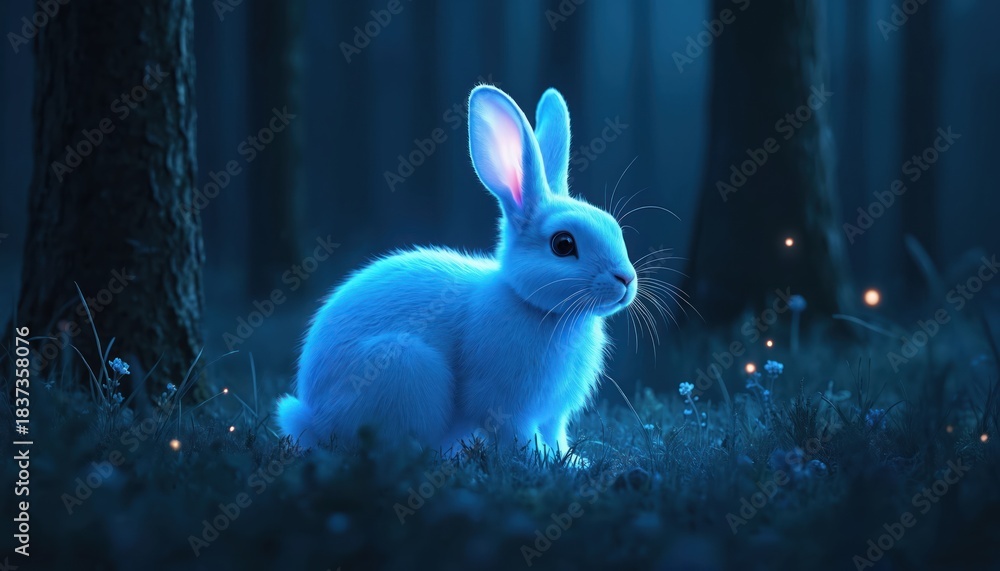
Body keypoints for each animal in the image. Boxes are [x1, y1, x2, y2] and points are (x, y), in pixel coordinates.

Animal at [276, 85, 638, 460]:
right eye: (563, 244)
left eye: (614, 228)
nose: (625, 280)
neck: (542, 310)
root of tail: (313, 418)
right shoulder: (505, 406)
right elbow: (521, 438)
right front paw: (540, 462)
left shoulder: (554, 414)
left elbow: (556, 437)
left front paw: (573, 462)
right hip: (406, 368)